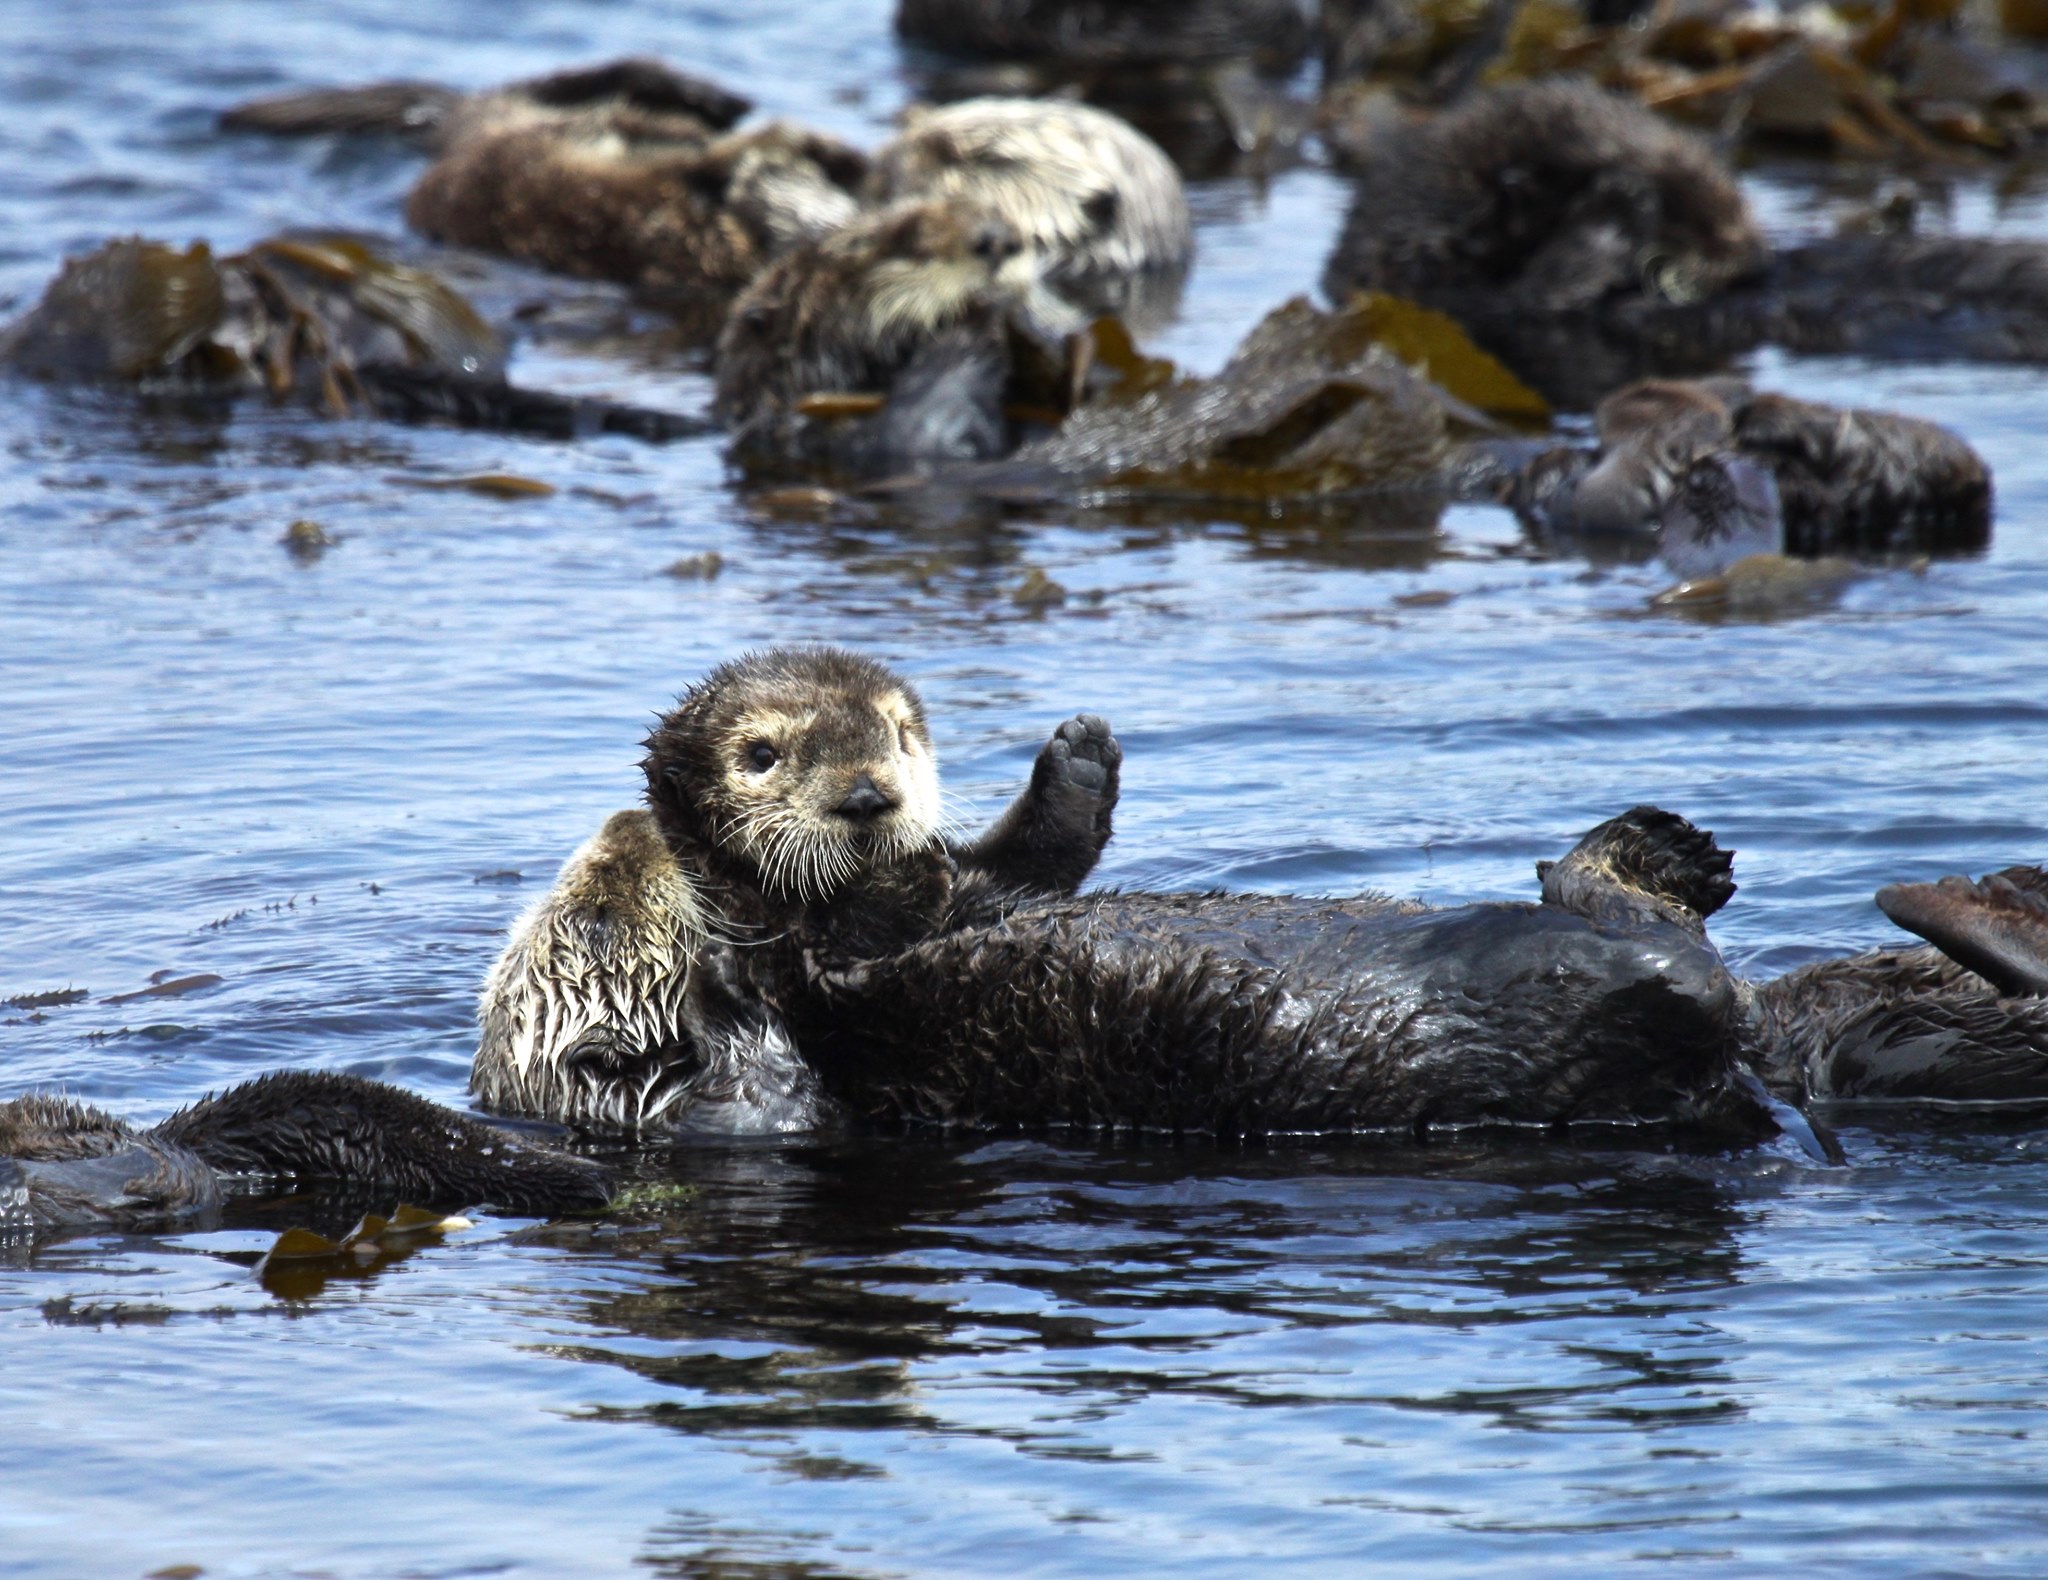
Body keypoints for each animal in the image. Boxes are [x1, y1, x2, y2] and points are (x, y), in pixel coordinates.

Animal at [473, 647, 1130, 1131]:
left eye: (900, 737)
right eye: (763, 754)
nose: (865, 797)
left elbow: (1017, 869)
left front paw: (1079, 765)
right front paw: (718, 977)